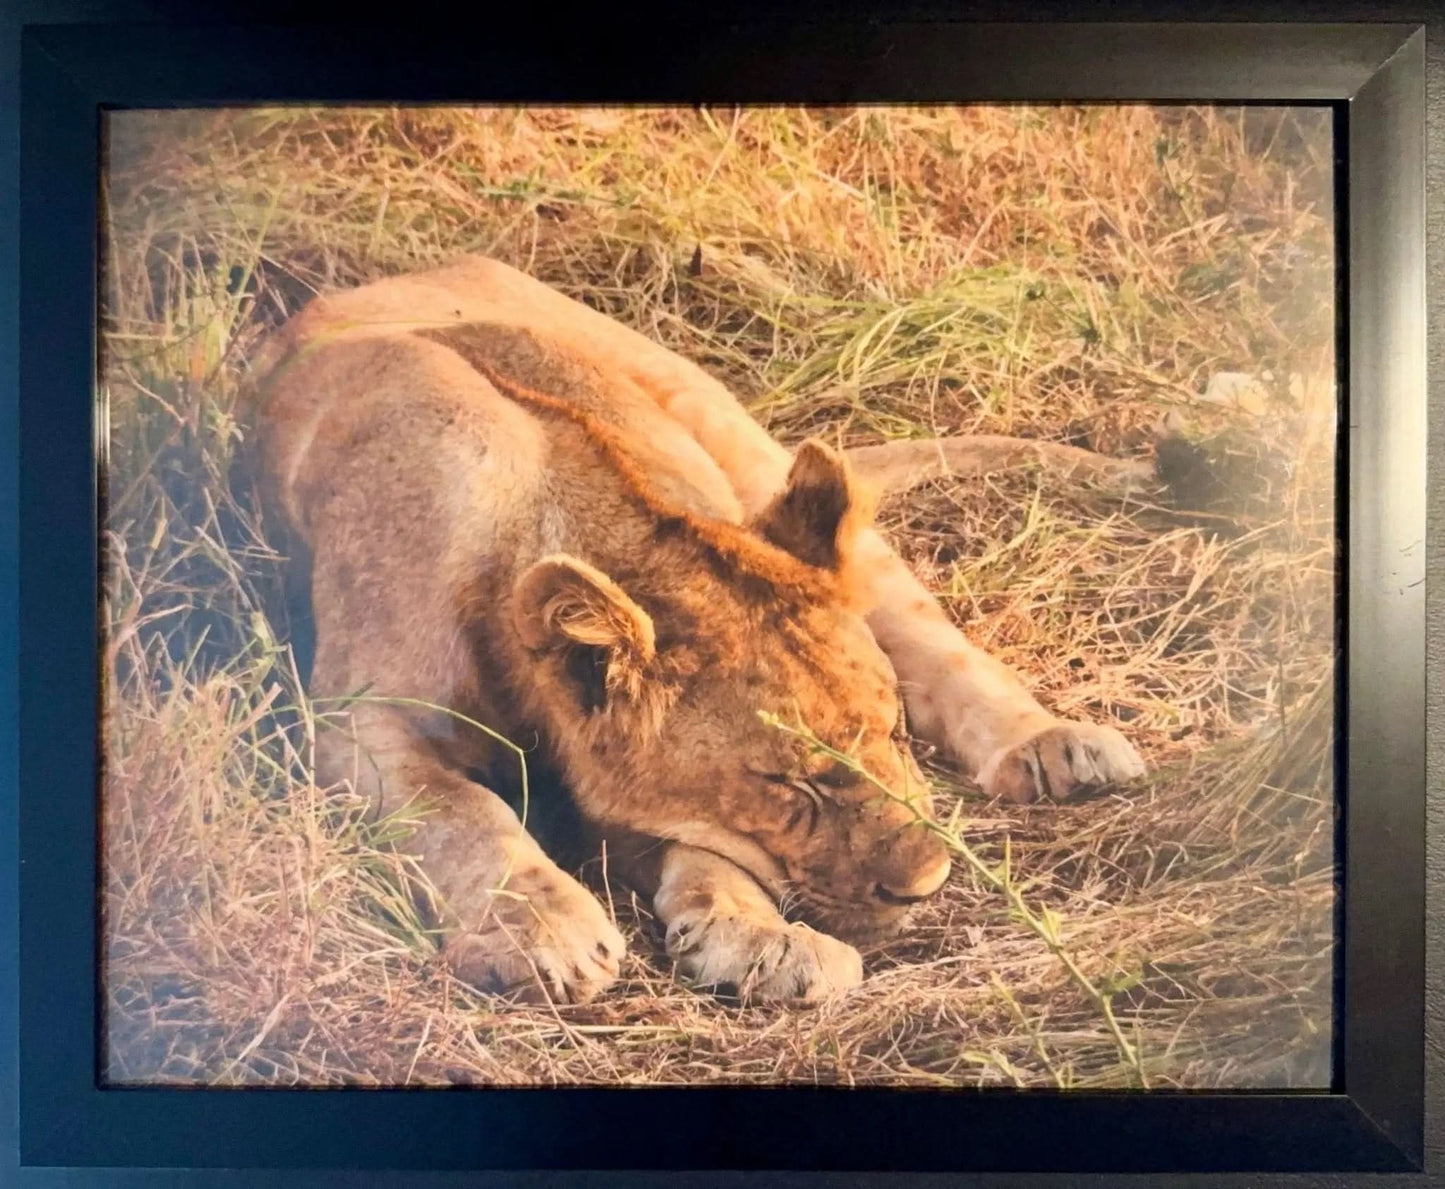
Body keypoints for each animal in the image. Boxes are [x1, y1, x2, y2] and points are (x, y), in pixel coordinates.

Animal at [250, 254, 1146, 1006]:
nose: (925, 884)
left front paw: (761, 938)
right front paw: (544, 932)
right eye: (788, 783)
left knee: (924, 627)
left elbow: (707, 852)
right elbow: (459, 810)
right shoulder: (356, 720)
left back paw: (1058, 748)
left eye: (894, 731)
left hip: (745, 447)